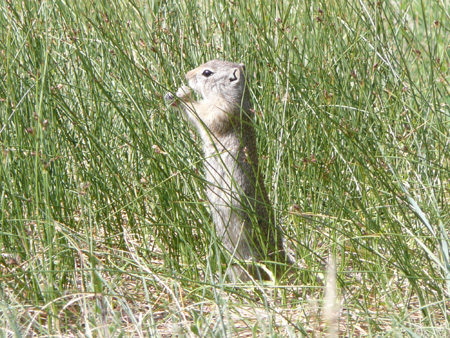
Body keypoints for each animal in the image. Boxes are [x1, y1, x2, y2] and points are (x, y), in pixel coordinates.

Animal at [165, 59, 288, 282]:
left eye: (207, 73)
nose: (187, 75)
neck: (233, 97)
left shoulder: (220, 110)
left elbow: (200, 113)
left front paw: (182, 94)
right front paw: (171, 97)